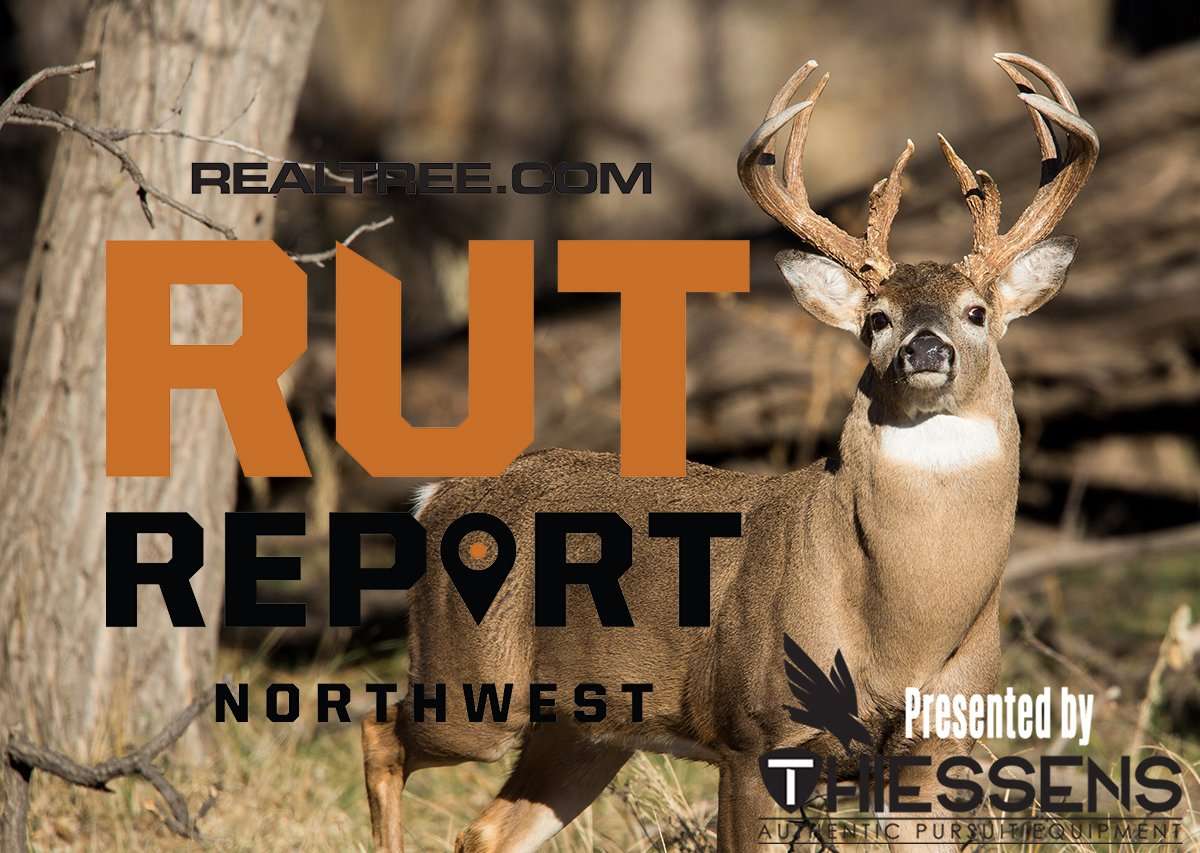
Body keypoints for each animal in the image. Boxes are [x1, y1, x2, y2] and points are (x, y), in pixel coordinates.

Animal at [361, 53, 1097, 853]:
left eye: (977, 312)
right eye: (876, 318)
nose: (924, 347)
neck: (903, 630)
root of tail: (436, 497)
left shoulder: (932, 749)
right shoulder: (752, 733)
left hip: (582, 729)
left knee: (488, 830)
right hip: (472, 680)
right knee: (380, 732)